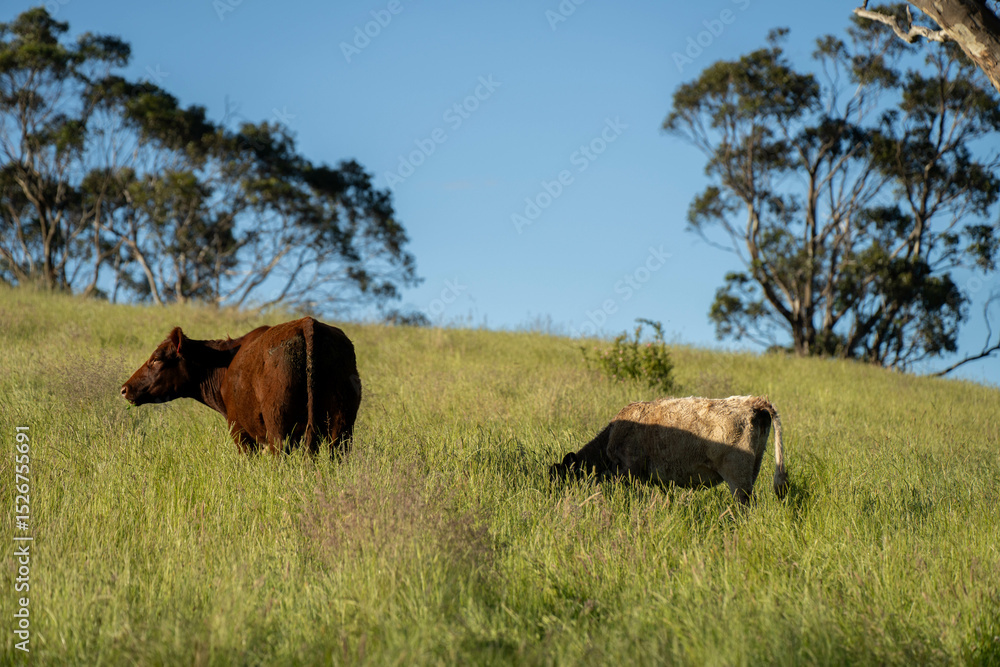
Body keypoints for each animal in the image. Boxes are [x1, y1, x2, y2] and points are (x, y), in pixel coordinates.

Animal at [121, 317, 361, 456]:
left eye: (156, 359)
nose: (125, 388)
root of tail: (308, 323)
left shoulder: (239, 430)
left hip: (279, 426)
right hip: (342, 427)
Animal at [550, 395, 788, 504]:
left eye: (560, 477)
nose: (554, 496)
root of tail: (752, 401)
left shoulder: (629, 471)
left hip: (736, 476)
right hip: (752, 469)